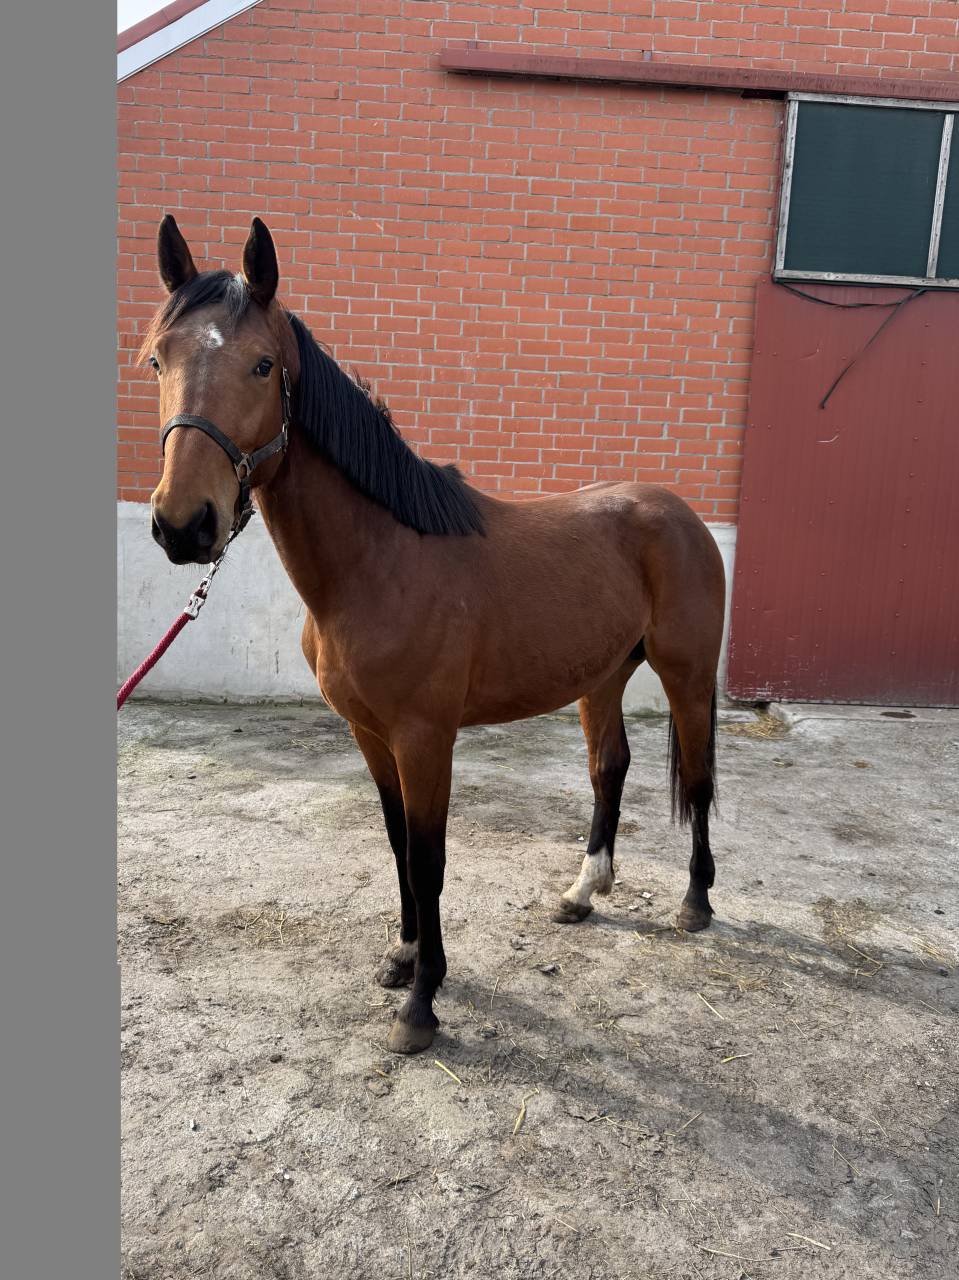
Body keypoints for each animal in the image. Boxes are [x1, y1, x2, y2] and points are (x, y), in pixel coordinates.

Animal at [144, 214, 726, 1055]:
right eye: (159, 358)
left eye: (261, 364)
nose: (183, 525)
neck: (380, 561)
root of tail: (679, 514)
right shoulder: (370, 734)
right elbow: (396, 845)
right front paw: (402, 955)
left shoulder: (424, 738)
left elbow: (428, 859)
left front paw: (421, 1003)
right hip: (603, 676)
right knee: (608, 769)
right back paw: (583, 891)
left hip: (685, 672)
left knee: (699, 776)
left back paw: (695, 902)